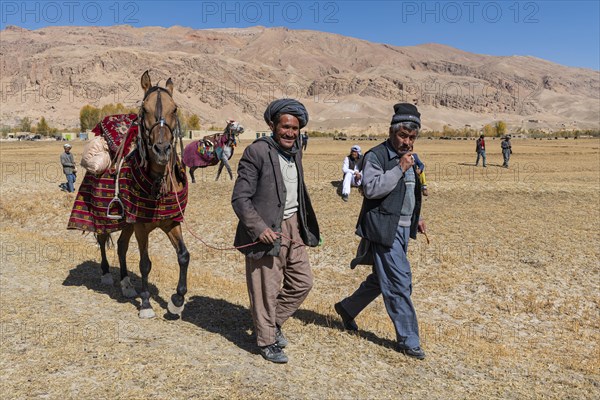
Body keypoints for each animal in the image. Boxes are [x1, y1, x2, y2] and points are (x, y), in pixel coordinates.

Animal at [95, 70, 189, 318]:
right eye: (144, 109)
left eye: (174, 108)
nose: (162, 150)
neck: (157, 183)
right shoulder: (140, 226)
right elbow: (145, 263)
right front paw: (146, 303)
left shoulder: (171, 222)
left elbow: (183, 256)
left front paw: (177, 301)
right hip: (103, 215)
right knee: (102, 239)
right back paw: (106, 274)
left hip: (126, 222)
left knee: (121, 245)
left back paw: (127, 284)